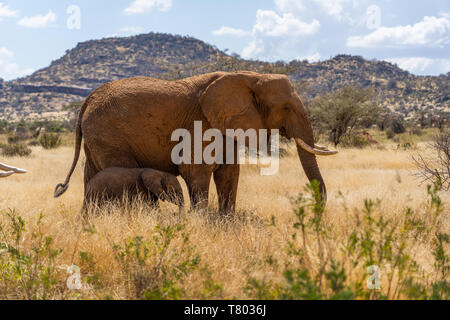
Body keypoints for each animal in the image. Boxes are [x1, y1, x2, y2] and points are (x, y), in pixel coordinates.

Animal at [54, 72, 338, 212]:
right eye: (286, 107)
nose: (318, 211)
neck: (250, 76)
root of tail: (88, 99)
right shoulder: (200, 125)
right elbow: (197, 173)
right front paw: (201, 222)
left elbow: (229, 175)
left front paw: (225, 224)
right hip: (109, 136)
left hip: (95, 137)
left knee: (90, 174)